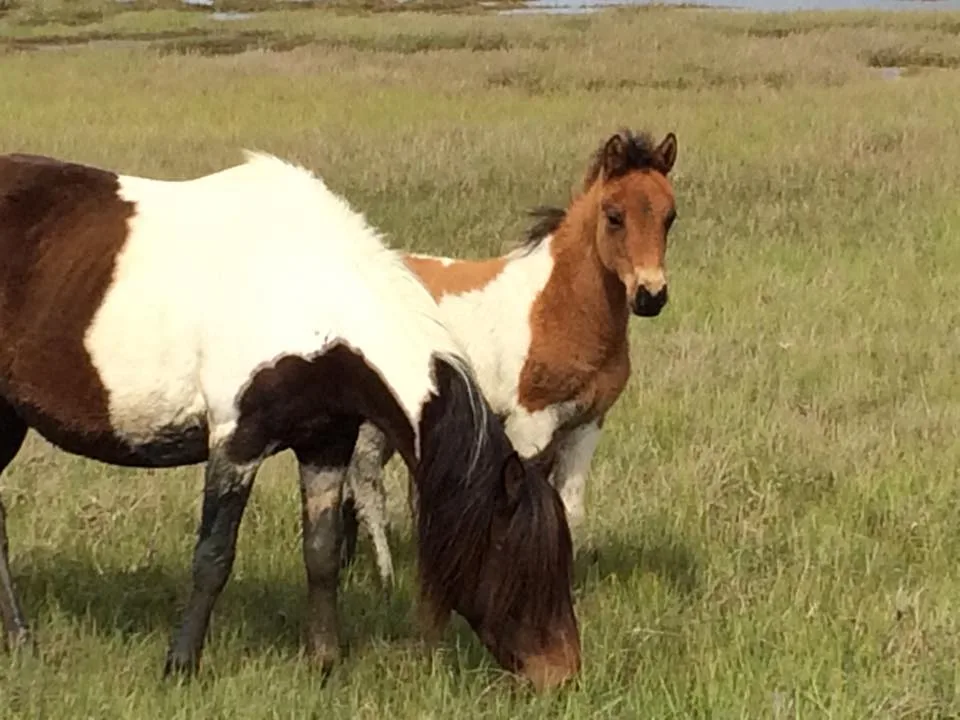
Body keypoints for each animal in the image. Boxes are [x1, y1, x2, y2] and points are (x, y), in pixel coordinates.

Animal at [0, 150, 581, 691]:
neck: (311, 298)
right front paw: (181, 666)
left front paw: (324, 664)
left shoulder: (325, 444)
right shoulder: (237, 443)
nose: (563, 674)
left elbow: (322, 553)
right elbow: (213, 557)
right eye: (521, 560)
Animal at [339, 129, 678, 590]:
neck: (558, 305)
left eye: (670, 217)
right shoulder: (531, 424)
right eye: (614, 216)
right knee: (366, 479)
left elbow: (570, 508)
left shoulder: (586, 425)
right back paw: (386, 576)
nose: (650, 296)